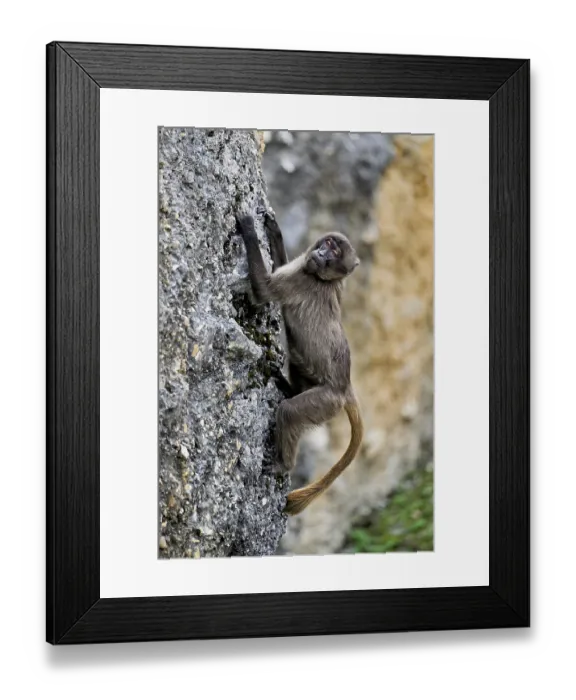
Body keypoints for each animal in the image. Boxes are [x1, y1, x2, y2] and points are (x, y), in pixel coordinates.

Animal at [235, 208, 364, 516]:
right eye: (328, 243)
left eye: (333, 253)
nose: (321, 252)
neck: (325, 279)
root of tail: (345, 387)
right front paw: (273, 228)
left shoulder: (298, 279)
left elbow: (263, 290)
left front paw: (248, 227)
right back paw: (288, 387)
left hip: (326, 402)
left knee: (290, 412)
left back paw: (283, 465)